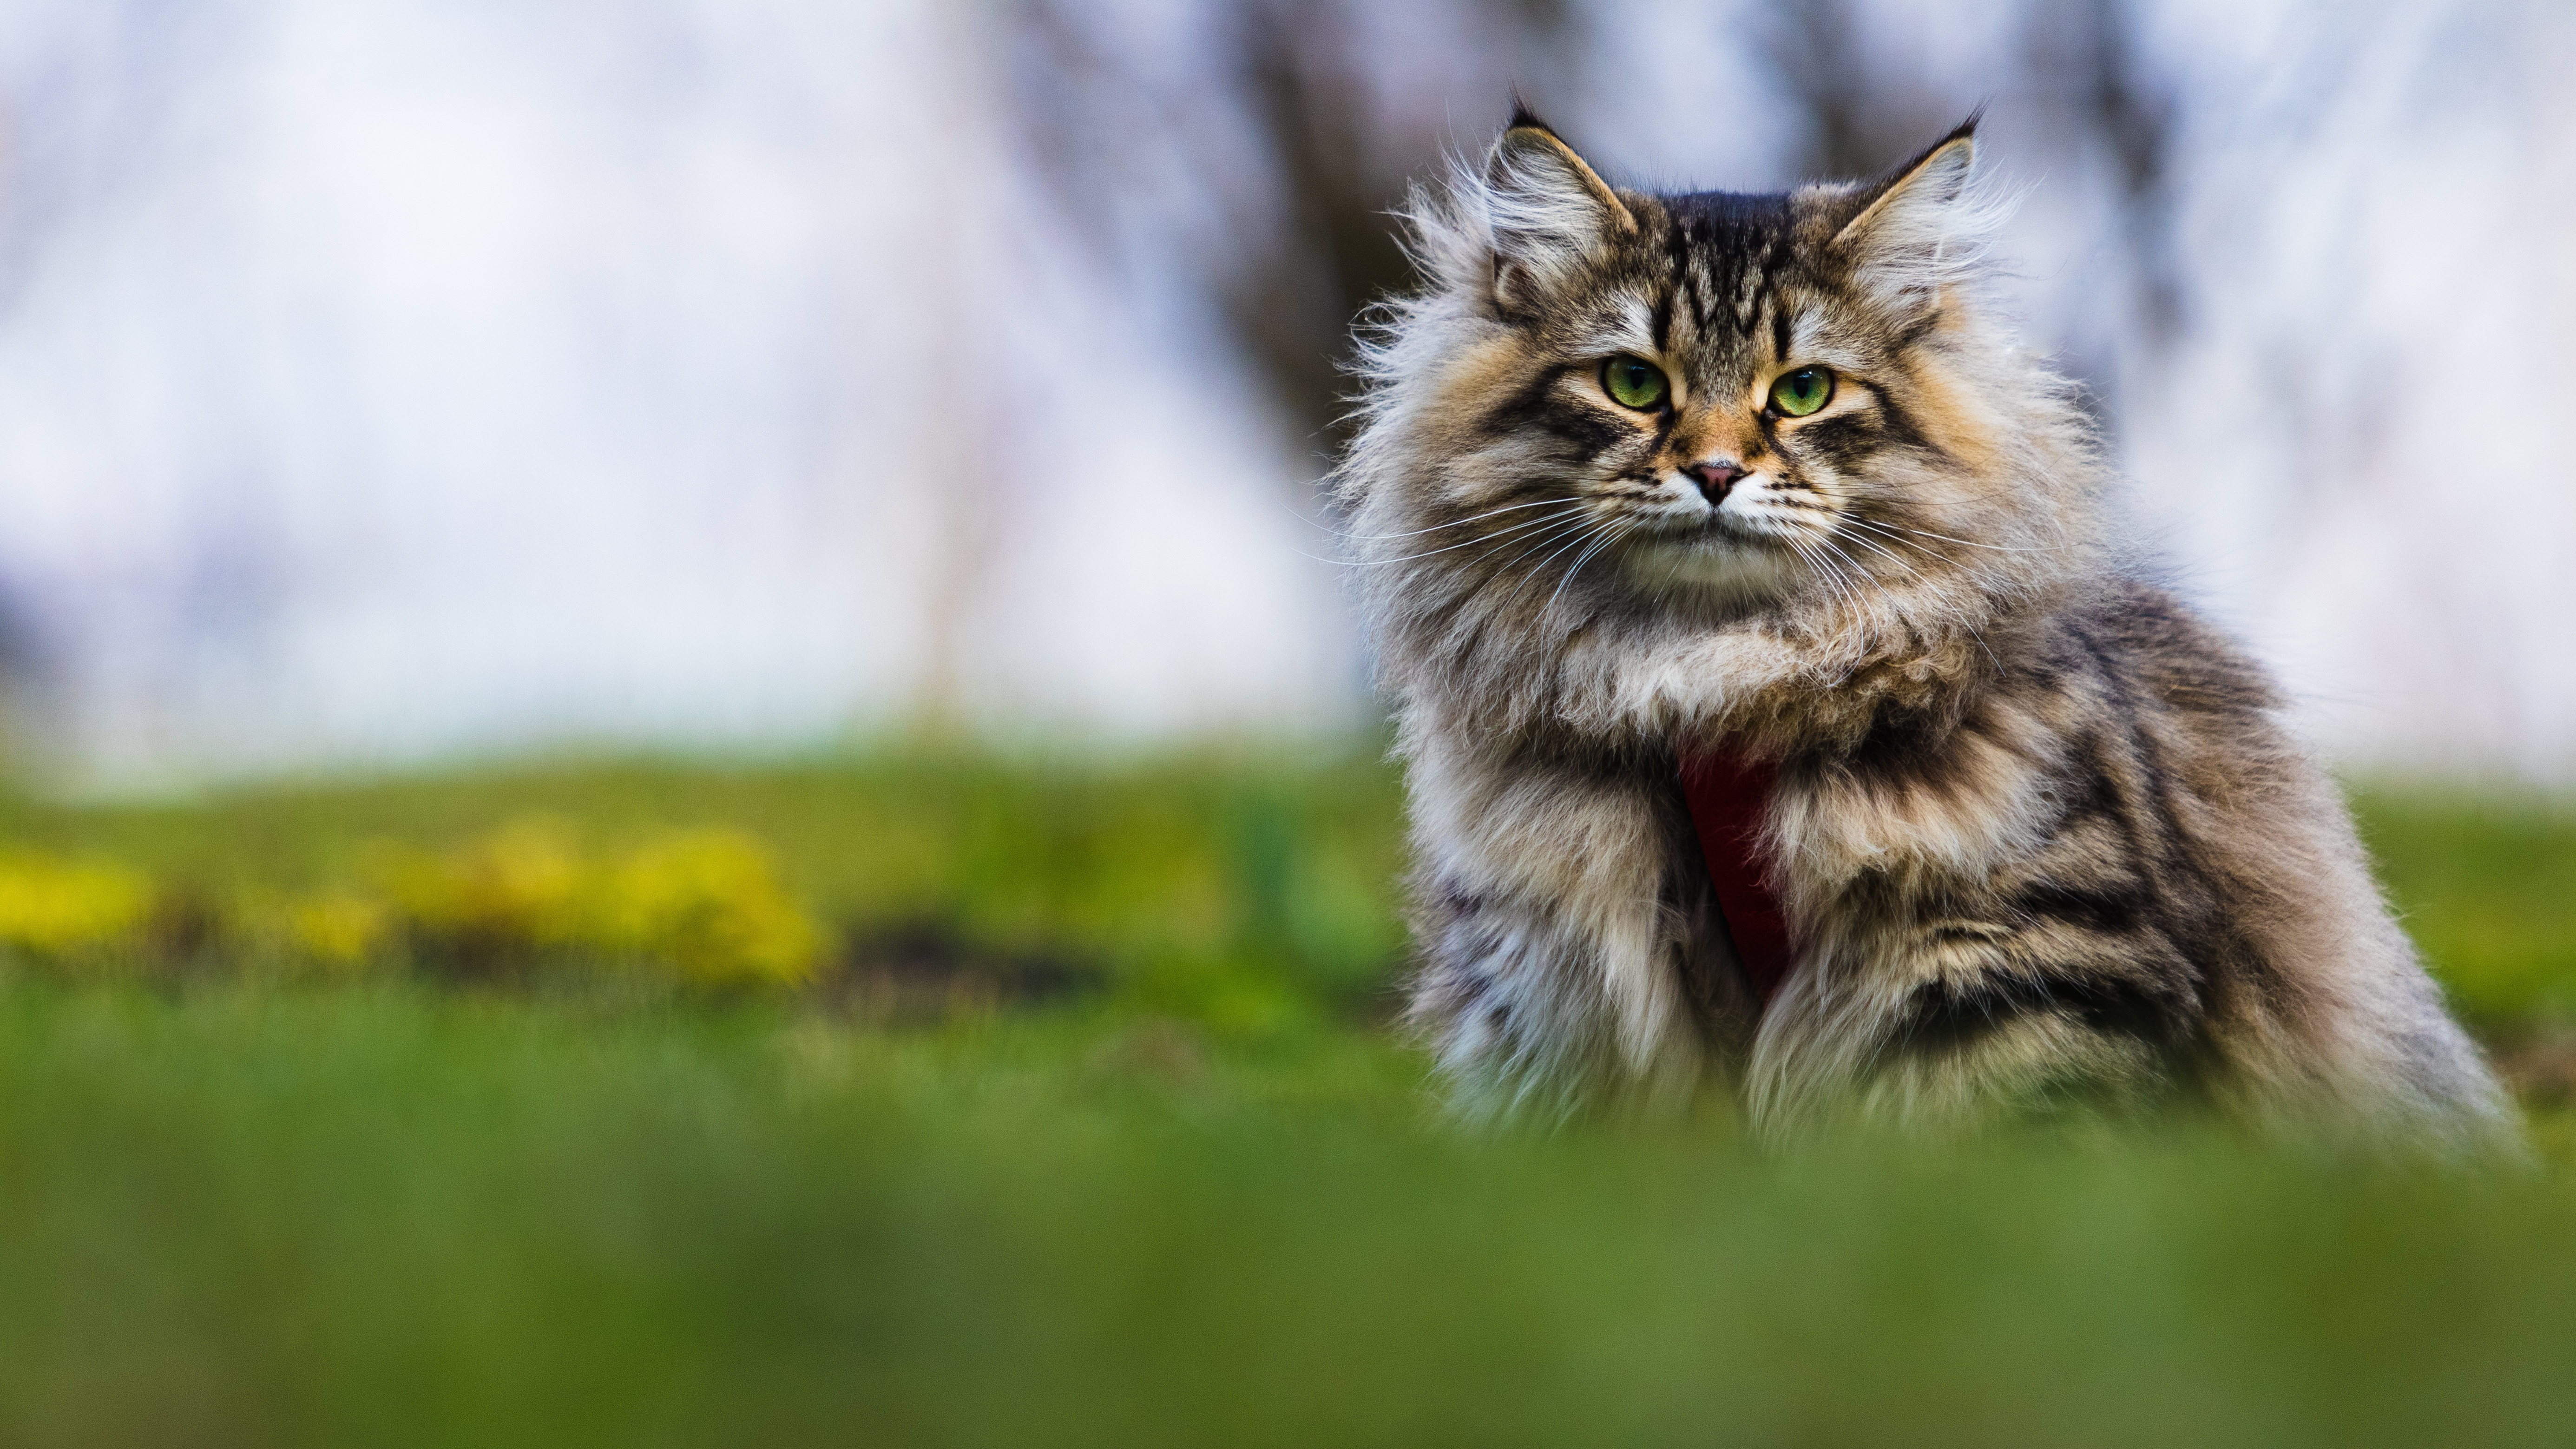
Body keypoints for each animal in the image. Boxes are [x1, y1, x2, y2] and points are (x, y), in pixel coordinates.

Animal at [1339, 107, 2504, 1139]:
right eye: (1633, 382)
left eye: (1803, 393)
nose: (1713, 472)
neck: (1710, 685)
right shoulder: (1545, 991)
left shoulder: (2026, 972)